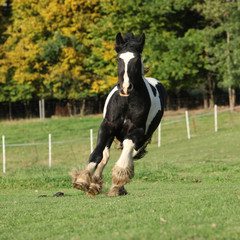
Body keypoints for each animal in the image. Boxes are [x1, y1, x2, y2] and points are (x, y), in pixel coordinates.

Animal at [70, 32, 166, 197]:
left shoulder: (138, 130)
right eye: (118, 58)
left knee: (131, 153)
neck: (127, 101)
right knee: (106, 155)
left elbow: (128, 147)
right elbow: (98, 153)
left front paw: (119, 176)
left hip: (144, 137)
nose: (126, 87)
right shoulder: (107, 126)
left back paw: (117, 187)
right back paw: (94, 184)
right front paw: (83, 180)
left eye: (136, 59)